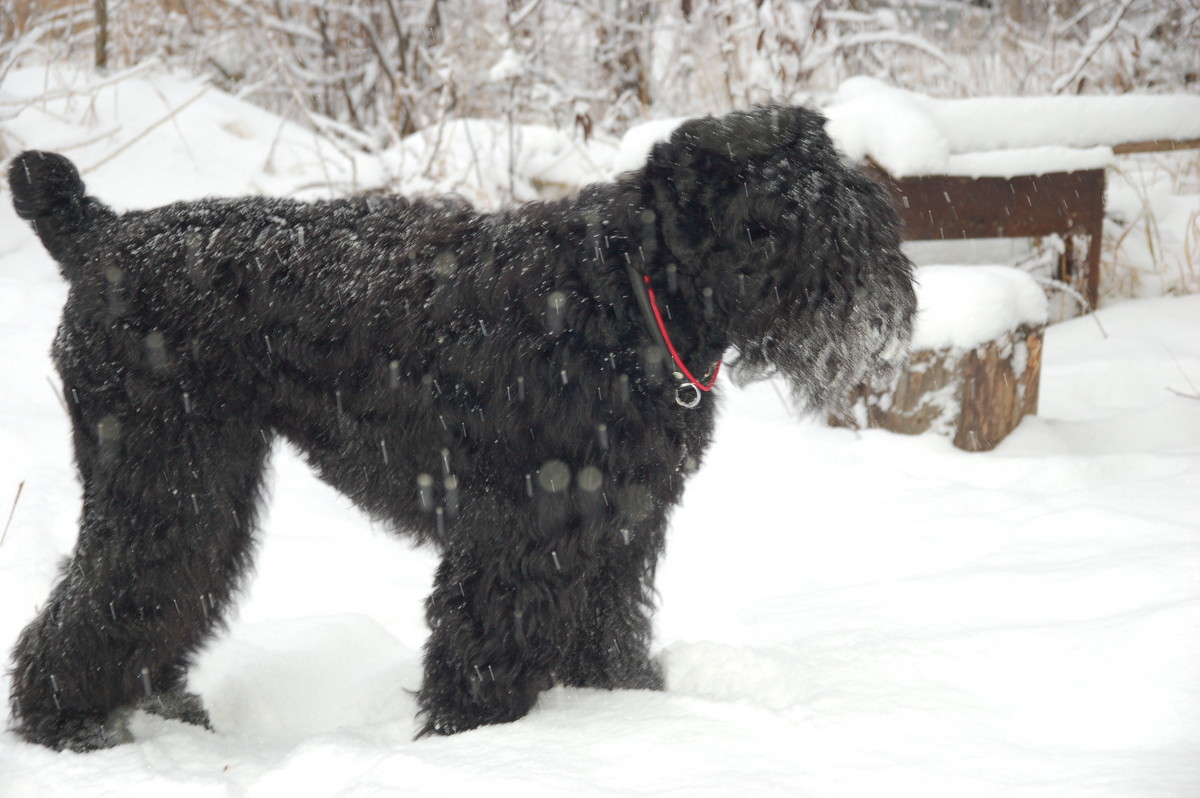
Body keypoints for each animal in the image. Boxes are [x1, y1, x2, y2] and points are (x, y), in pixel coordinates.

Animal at [4, 104, 912, 748]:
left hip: (205, 480)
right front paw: (478, 746)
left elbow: (607, 637)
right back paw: (70, 724)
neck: (625, 295)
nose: (884, 295)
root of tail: (102, 233)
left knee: (159, 590)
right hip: (165, 474)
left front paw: (621, 720)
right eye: (781, 210)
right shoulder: (515, 533)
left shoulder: (615, 528)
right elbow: (486, 648)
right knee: (115, 587)